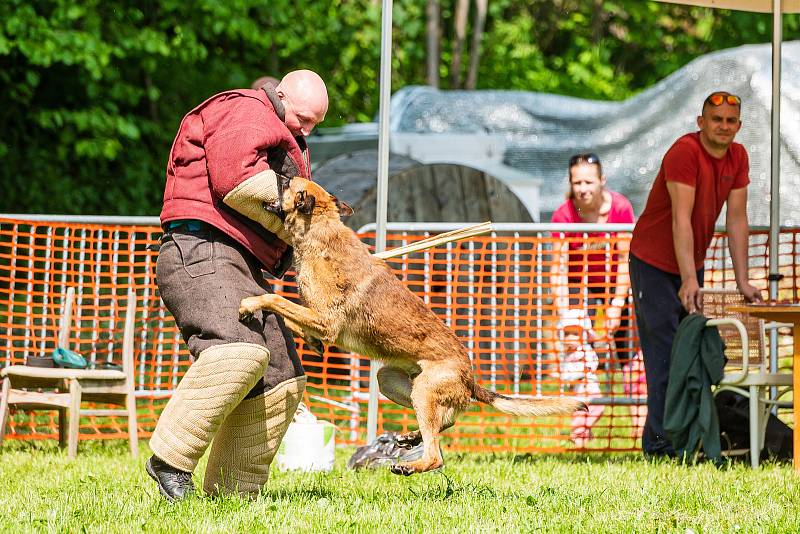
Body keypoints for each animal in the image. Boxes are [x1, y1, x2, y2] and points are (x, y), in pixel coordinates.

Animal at [241, 177, 584, 478]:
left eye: (286, 182)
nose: (272, 172)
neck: (320, 230)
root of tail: (470, 378)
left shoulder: (326, 321)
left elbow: (275, 298)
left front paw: (250, 304)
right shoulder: (319, 319)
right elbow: (287, 317)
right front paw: (310, 342)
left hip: (423, 391)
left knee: (436, 453)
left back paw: (410, 464)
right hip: (393, 381)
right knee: (446, 421)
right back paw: (410, 437)